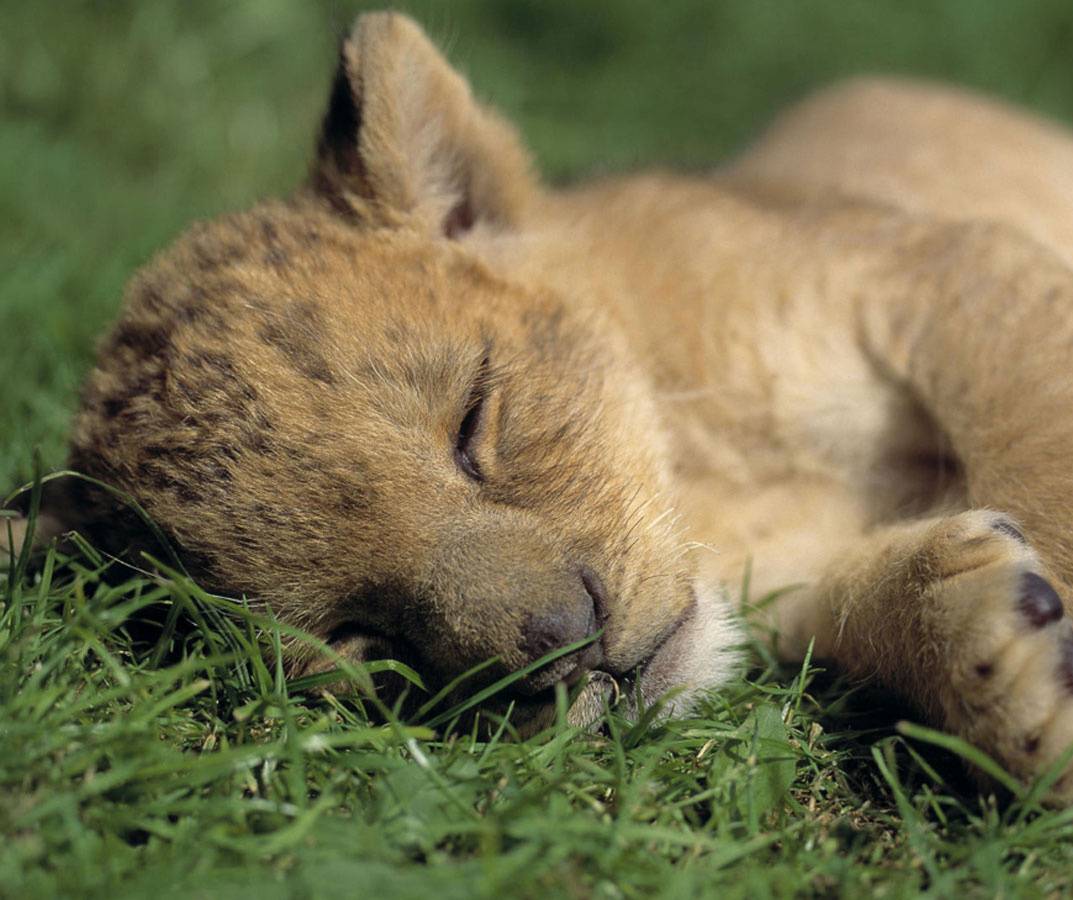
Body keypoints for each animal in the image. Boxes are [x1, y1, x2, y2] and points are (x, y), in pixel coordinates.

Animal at [9, 12, 1073, 799]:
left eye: (474, 421)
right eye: (358, 637)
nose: (567, 649)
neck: (709, 484)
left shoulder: (938, 272)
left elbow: (1040, 446)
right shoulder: (791, 590)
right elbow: (862, 603)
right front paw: (994, 660)